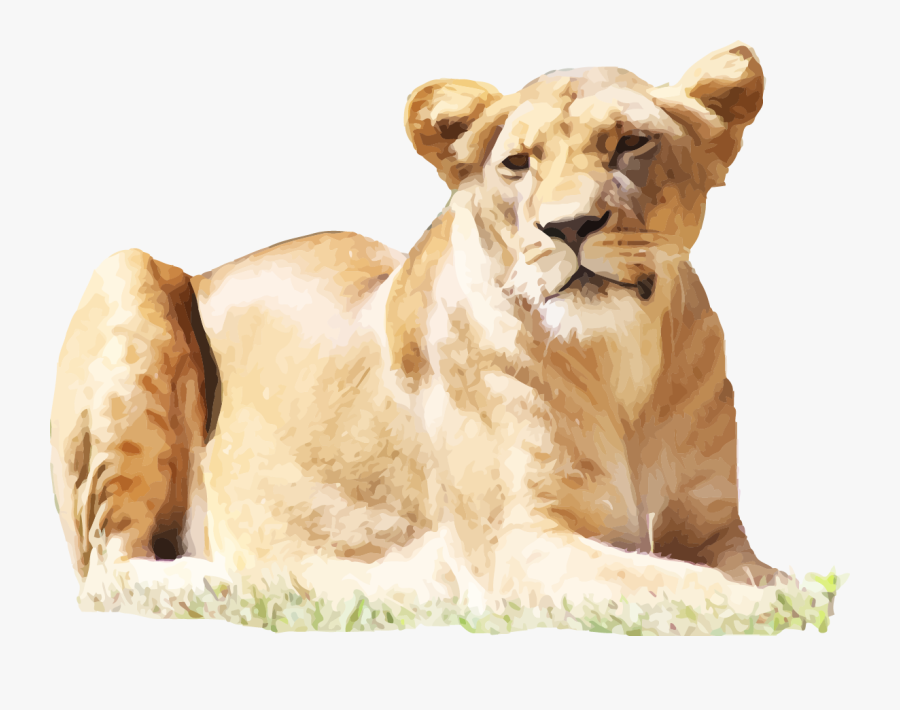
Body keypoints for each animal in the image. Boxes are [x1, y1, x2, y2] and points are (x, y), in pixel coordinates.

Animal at [51, 42, 781, 619]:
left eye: (632, 142)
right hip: (125, 272)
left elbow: (756, 572)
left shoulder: (717, 533)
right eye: (518, 163)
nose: (568, 227)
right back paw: (245, 582)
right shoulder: (518, 546)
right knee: (108, 567)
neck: (620, 362)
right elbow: (681, 584)